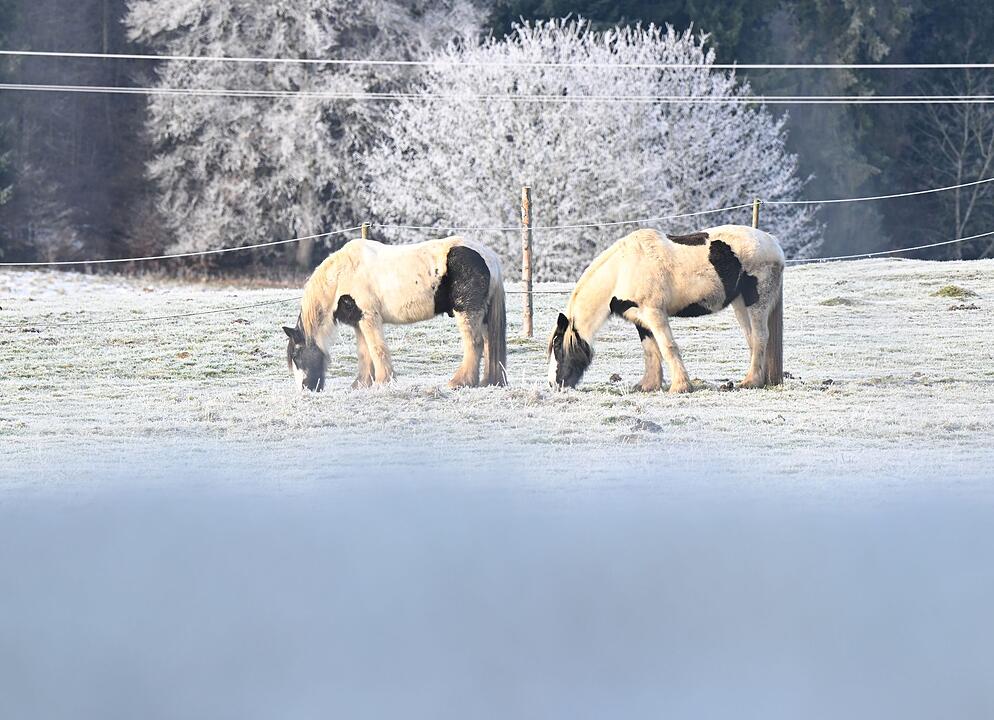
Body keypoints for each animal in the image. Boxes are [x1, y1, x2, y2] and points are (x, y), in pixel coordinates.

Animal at [283, 235, 507, 391]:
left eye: (296, 355)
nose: (306, 390)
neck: (341, 276)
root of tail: (489, 257)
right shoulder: (359, 321)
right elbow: (364, 353)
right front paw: (361, 384)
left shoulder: (369, 317)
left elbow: (377, 349)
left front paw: (383, 382)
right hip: (483, 315)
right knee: (489, 343)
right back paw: (488, 382)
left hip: (466, 311)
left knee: (475, 344)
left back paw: (460, 382)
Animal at [547, 225, 785, 392]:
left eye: (558, 346)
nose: (553, 384)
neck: (622, 269)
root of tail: (774, 243)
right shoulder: (640, 318)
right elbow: (651, 351)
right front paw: (648, 385)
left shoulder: (655, 313)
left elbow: (667, 347)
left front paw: (680, 387)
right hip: (740, 304)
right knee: (752, 339)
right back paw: (755, 379)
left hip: (756, 301)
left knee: (760, 337)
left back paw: (751, 381)